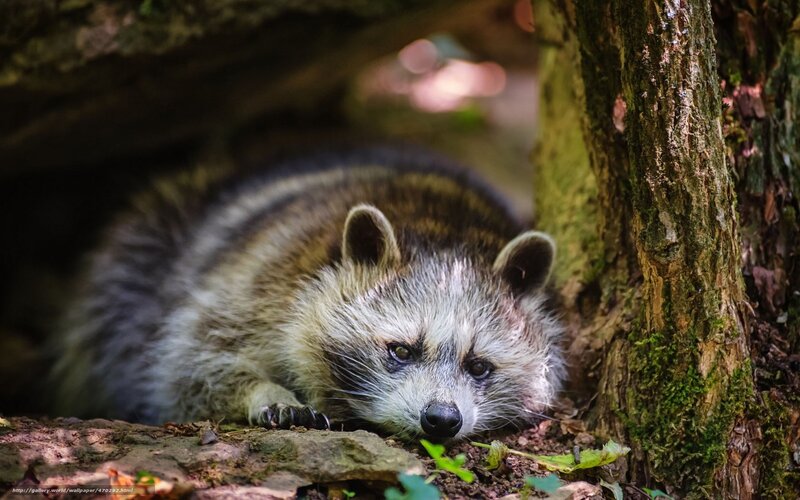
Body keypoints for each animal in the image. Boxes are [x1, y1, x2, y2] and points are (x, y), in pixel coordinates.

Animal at [52, 148, 564, 441]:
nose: (441, 419)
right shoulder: (256, 283)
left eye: (479, 366)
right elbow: (187, 364)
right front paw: (261, 390)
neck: (443, 231)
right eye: (400, 350)